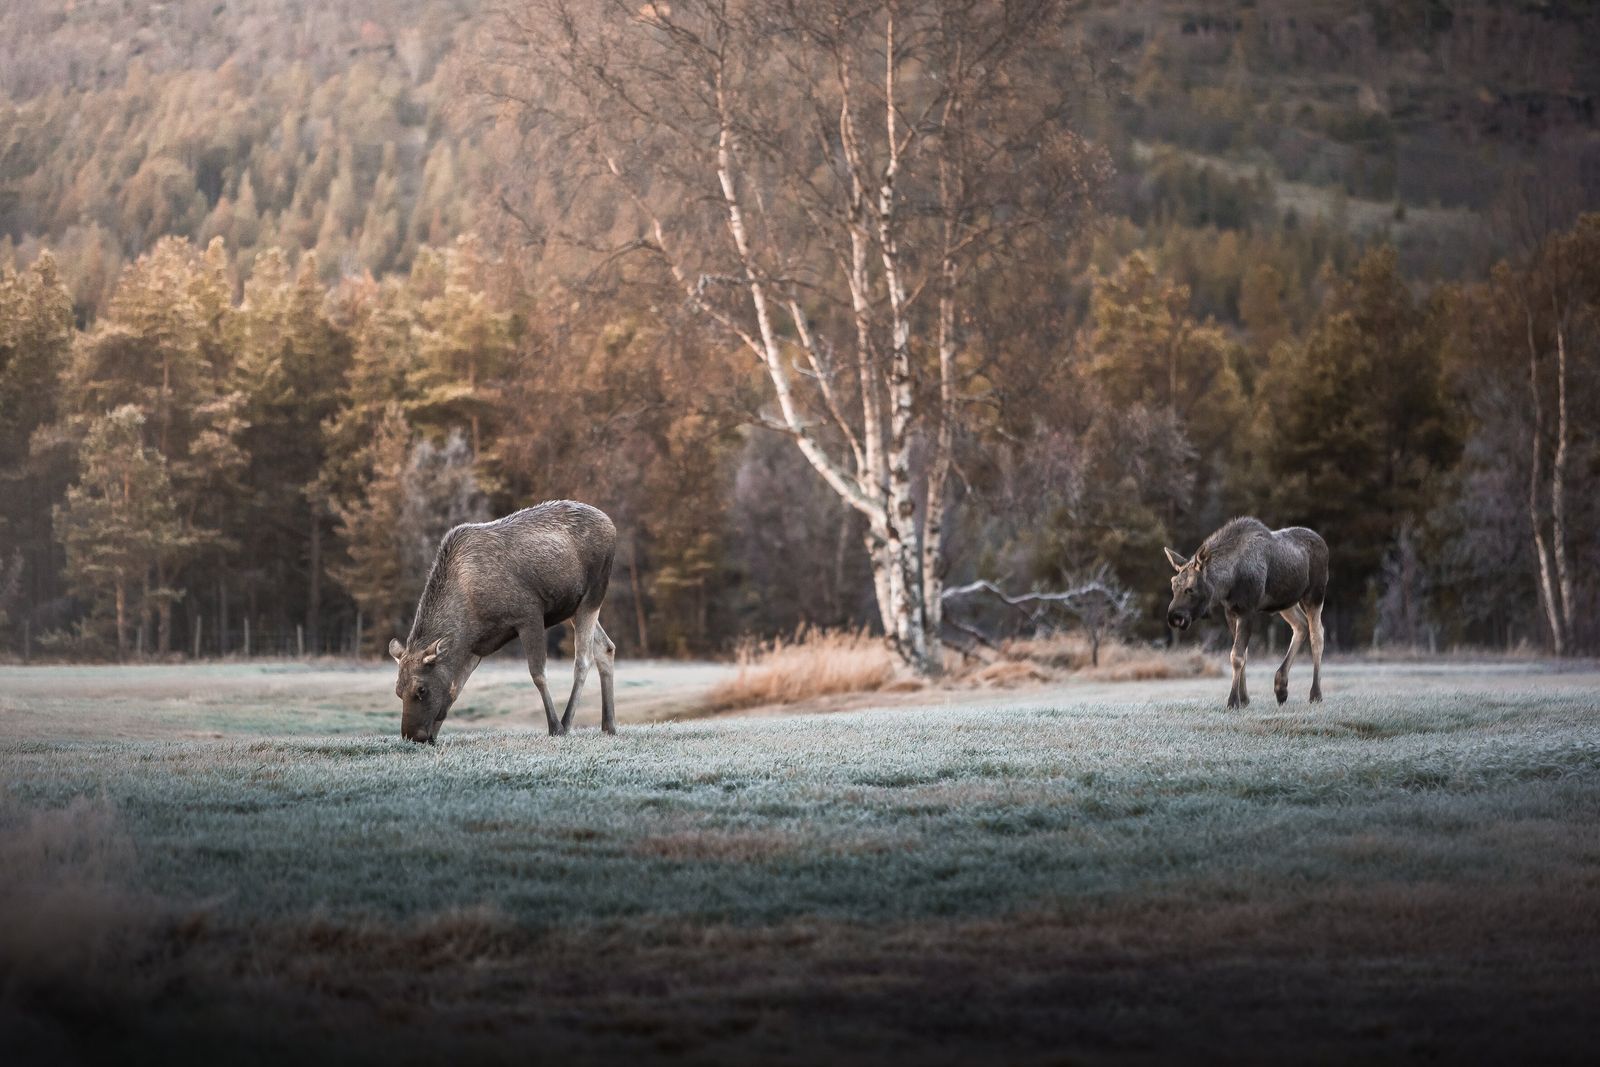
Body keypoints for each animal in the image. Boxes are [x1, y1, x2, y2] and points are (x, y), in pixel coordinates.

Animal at [387, 502, 617, 742]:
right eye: (398, 690)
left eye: (421, 689)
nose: (414, 736)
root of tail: (610, 523)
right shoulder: (476, 645)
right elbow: (454, 690)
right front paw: (435, 733)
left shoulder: (529, 614)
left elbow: (538, 674)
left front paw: (555, 727)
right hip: (573, 607)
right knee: (606, 647)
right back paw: (609, 725)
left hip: (592, 595)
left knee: (583, 659)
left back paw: (567, 722)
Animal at [1164, 518, 1324, 710]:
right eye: (1173, 584)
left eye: (1190, 589)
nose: (1174, 617)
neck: (1228, 582)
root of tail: (1323, 543)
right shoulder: (1231, 612)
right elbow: (1244, 655)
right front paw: (1244, 699)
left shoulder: (1248, 610)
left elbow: (1237, 656)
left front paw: (1233, 701)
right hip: (1286, 602)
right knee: (1301, 625)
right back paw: (1281, 688)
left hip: (1314, 595)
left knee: (1317, 635)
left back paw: (1315, 694)